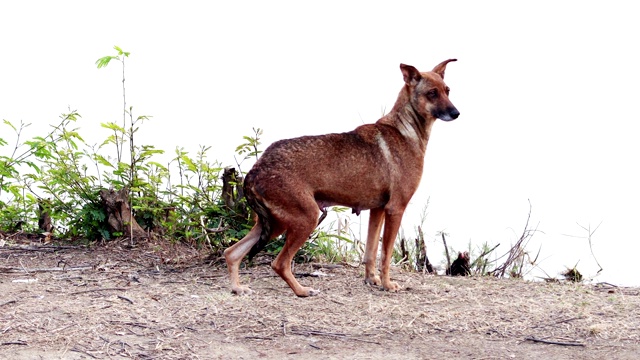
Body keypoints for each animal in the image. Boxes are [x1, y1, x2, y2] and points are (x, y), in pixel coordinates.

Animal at [225, 58, 460, 296]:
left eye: (447, 90)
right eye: (432, 93)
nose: (456, 113)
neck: (405, 130)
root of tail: (255, 170)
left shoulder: (377, 210)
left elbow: (370, 252)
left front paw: (372, 280)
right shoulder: (395, 209)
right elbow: (385, 256)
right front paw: (387, 284)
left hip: (273, 223)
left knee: (232, 253)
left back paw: (238, 288)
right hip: (305, 218)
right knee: (279, 263)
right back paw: (302, 290)